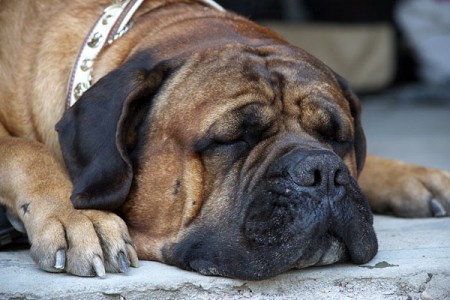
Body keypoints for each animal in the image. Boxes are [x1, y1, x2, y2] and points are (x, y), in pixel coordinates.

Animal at [0, 0, 450, 282]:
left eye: (336, 138)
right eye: (232, 139)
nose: (321, 171)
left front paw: (416, 176)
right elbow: (23, 148)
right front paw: (78, 217)